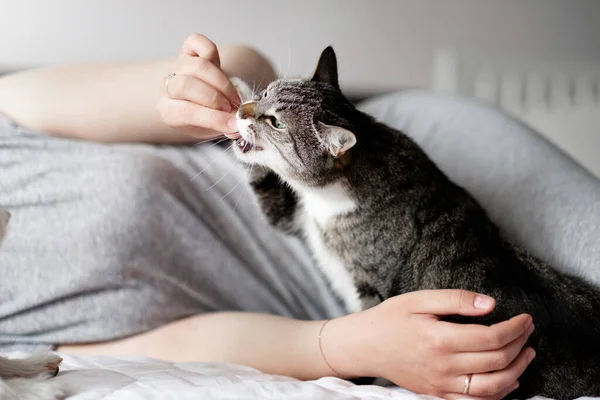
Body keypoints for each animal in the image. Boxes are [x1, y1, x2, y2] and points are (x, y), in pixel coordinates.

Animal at [229, 47, 600, 400]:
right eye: (266, 94)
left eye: (276, 123)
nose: (243, 112)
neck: (327, 198)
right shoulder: (294, 219)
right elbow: (263, 182)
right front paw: (233, 88)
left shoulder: (371, 289)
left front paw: (352, 381)